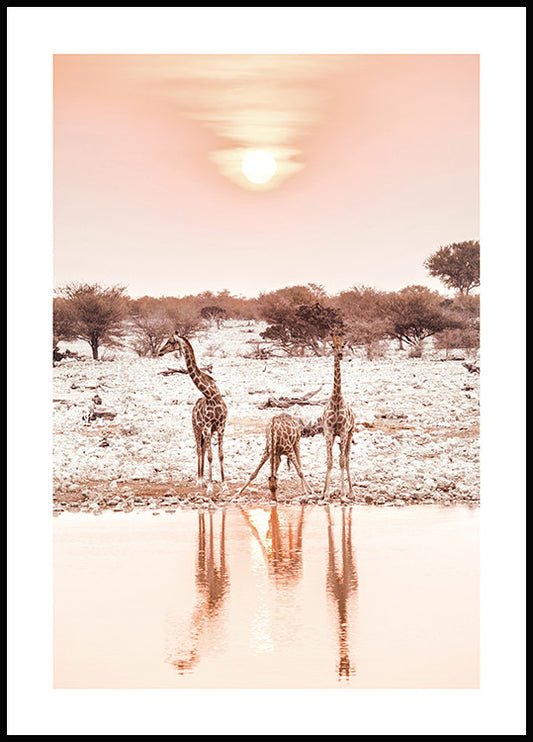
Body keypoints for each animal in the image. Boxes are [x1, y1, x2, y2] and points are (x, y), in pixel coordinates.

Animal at [158, 333, 227, 495]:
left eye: (170, 342)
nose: (160, 352)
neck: (211, 395)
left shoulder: (221, 427)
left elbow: (220, 455)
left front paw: (224, 486)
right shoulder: (207, 427)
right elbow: (210, 456)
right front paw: (210, 488)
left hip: (207, 431)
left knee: (202, 449)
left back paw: (202, 480)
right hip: (196, 427)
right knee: (199, 450)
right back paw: (199, 481)